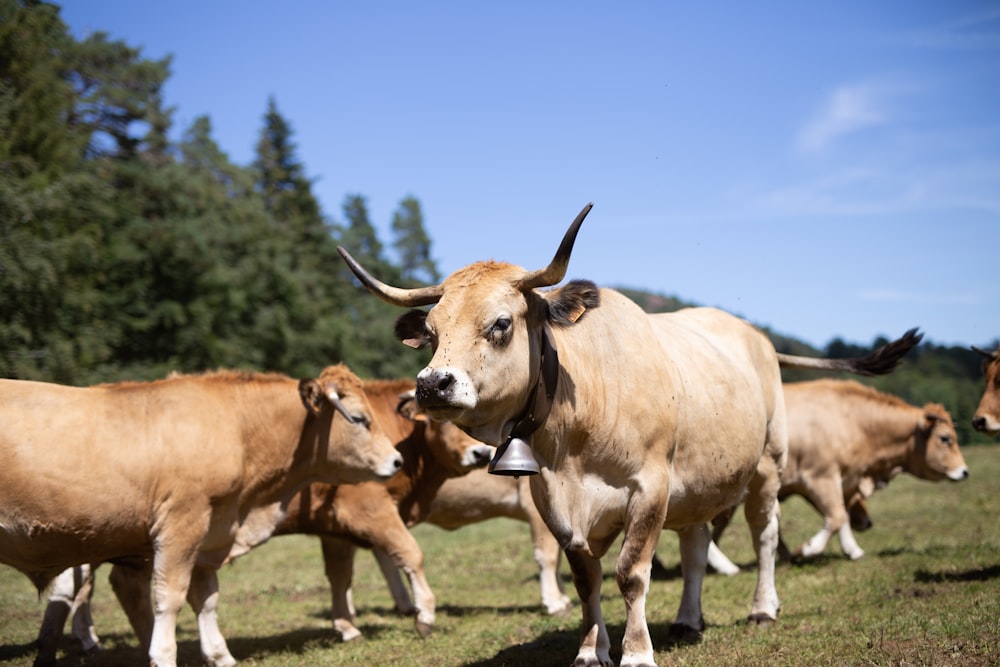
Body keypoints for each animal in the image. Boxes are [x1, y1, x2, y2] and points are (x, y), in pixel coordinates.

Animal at [4, 366, 402, 667]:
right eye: (360, 419)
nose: (397, 460)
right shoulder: (182, 522)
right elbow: (170, 597)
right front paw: (164, 656)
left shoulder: (212, 530)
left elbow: (207, 598)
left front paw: (219, 654)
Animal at [36, 380, 496, 656]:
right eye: (443, 417)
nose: (480, 453)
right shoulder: (370, 511)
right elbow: (410, 554)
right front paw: (424, 616)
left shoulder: (335, 530)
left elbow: (340, 576)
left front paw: (346, 626)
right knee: (84, 585)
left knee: (111, 584)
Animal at [336, 205, 920, 667]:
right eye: (432, 332)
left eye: (500, 324)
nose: (432, 384)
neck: (575, 434)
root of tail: (753, 334)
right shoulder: (555, 501)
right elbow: (587, 578)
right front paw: (590, 650)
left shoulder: (649, 487)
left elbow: (631, 573)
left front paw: (637, 653)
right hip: (698, 481)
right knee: (696, 546)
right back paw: (688, 619)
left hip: (766, 467)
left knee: (765, 536)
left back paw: (763, 608)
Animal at [708, 378, 964, 568]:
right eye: (945, 438)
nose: (964, 471)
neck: (852, 420)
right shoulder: (820, 477)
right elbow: (837, 516)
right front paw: (808, 549)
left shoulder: (840, 480)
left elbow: (841, 515)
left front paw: (852, 550)